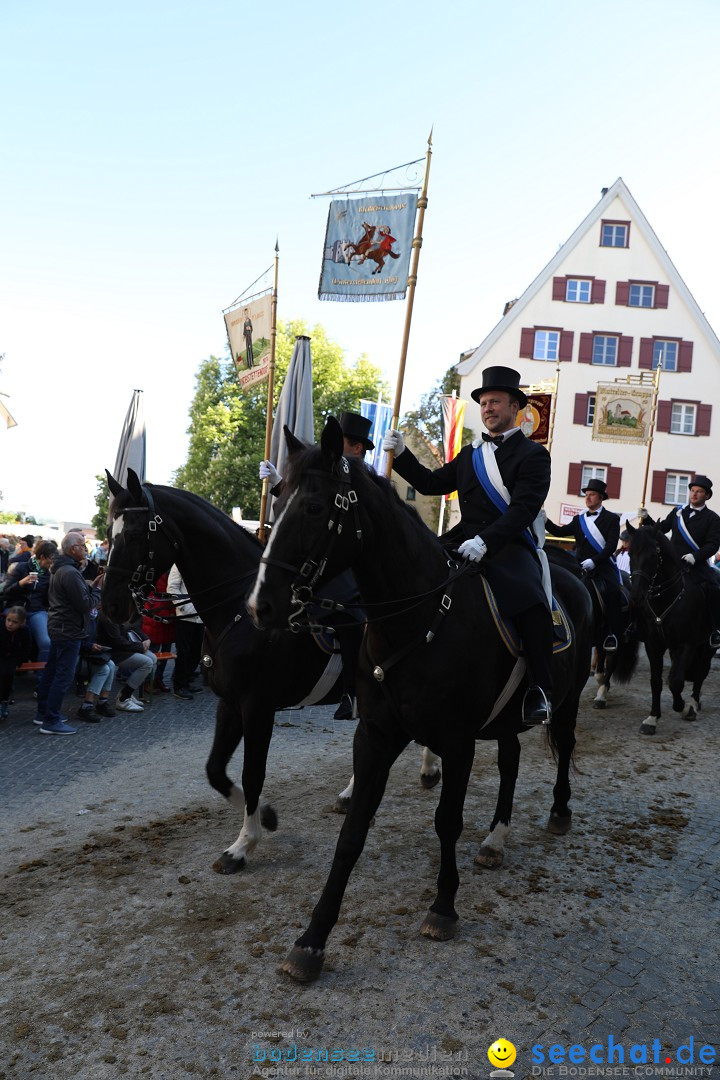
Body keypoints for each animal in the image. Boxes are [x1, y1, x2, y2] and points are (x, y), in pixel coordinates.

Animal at [99, 468, 367, 872]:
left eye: (132, 534)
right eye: (107, 530)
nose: (111, 606)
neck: (239, 609)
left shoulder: (258, 707)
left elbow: (252, 773)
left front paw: (242, 845)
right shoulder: (229, 703)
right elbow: (215, 771)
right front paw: (267, 816)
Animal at [248, 416, 591, 984]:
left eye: (315, 507)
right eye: (276, 498)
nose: (261, 605)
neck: (418, 616)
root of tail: (575, 575)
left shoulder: (456, 741)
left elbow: (446, 821)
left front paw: (443, 907)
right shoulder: (376, 735)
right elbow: (352, 833)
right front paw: (312, 939)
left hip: (566, 700)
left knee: (563, 745)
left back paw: (559, 811)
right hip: (504, 718)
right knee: (512, 760)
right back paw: (496, 839)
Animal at [626, 520, 716, 734]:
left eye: (653, 555)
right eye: (630, 553)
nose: (636, 597)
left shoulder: (688, 643)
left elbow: (676, 681)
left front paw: (683, 707)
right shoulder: (654, 645)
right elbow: (657, 681)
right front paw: (652, 718)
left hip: (706, 646)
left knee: (700, 673)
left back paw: (694, 703)